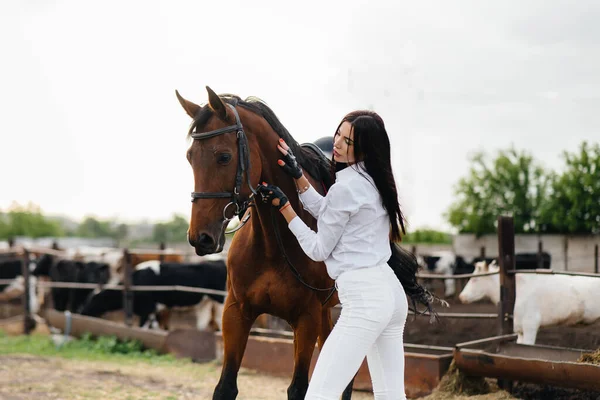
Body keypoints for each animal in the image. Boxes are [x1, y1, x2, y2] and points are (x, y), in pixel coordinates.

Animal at [81, 258, 226, 330]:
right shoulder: (152, 311)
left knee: (220, 319)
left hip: (221, 299)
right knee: (203, 321)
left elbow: (142, 328)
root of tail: (218, 261)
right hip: (205, 301)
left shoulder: (146, 309)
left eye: (95, 299)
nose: (82, 312)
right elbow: (154, 326)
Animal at [176, 87, 354, 400]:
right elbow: (225, 387)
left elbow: (298, 388)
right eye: (190, 157)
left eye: (224, 156)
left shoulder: (305, 318)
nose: (201, 237)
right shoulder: (236, 312)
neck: (275, 244)